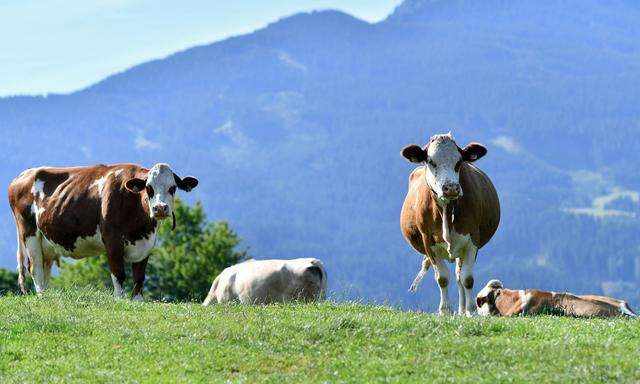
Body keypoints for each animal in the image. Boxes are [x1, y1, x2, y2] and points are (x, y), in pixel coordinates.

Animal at [6, 162, 198, 300]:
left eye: (172, 188)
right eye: (148, 188)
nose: (160, 208)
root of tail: (23, 174)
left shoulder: (146, 244)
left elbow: (139, 277)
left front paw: (137, 301)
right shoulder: (112, 241)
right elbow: (119, 274)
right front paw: (120, 300)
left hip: (47, 242)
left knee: (44, 269)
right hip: (29, 232)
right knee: (35, 267)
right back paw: (42, 297)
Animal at [400, 132, 500, 316]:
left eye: (459, 161)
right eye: (430, 161)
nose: (451, 188)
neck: (447, 210)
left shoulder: (472, 239)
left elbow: (467, 278)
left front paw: (471, 311)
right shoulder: (428, 240)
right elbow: (442, 277)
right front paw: (445, 310)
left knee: (459, 275)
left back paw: (462, 310)